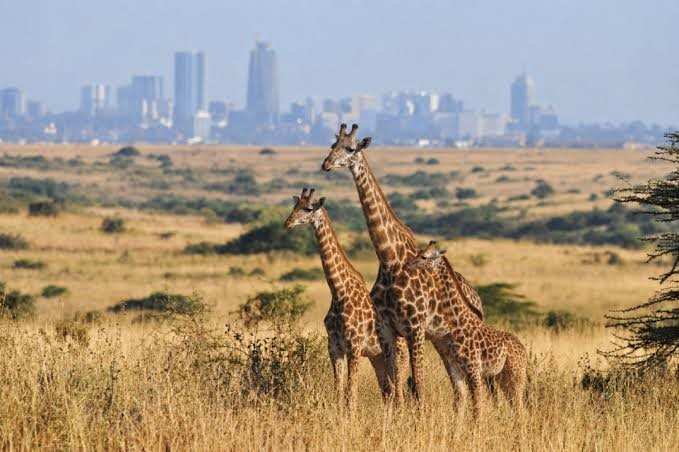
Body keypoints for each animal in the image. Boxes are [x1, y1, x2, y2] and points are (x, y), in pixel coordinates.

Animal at [284, 187, 401, 410]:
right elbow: (338, 394)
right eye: (294, 206)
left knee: (399, 392)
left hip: (396, 352)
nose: (287, 223)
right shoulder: (334, 347)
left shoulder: (354, 347)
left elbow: (350, 396)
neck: (339, 292)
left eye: (308, 208)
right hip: (377, 356)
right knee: (388, 391)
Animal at [321, 123, 486, 401]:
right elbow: (395, 385)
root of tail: (476, 296)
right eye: (333, 145)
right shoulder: (389, 330)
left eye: (351, 148)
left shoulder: (414, 328)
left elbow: (417, 385)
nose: (326, 164)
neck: (389, 259)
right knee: (458, 386)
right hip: (442, 341)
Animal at [403, 241, 528, 415]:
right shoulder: (456, 369)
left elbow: (477, 408)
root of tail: (524, 351)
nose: (407, 265)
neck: (457, 323)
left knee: (520, 409)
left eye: (424, 257)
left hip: (516, 375)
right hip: (503, 376)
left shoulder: (474, 370)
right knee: (515, 408)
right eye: (419, 252)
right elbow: (459, 404)